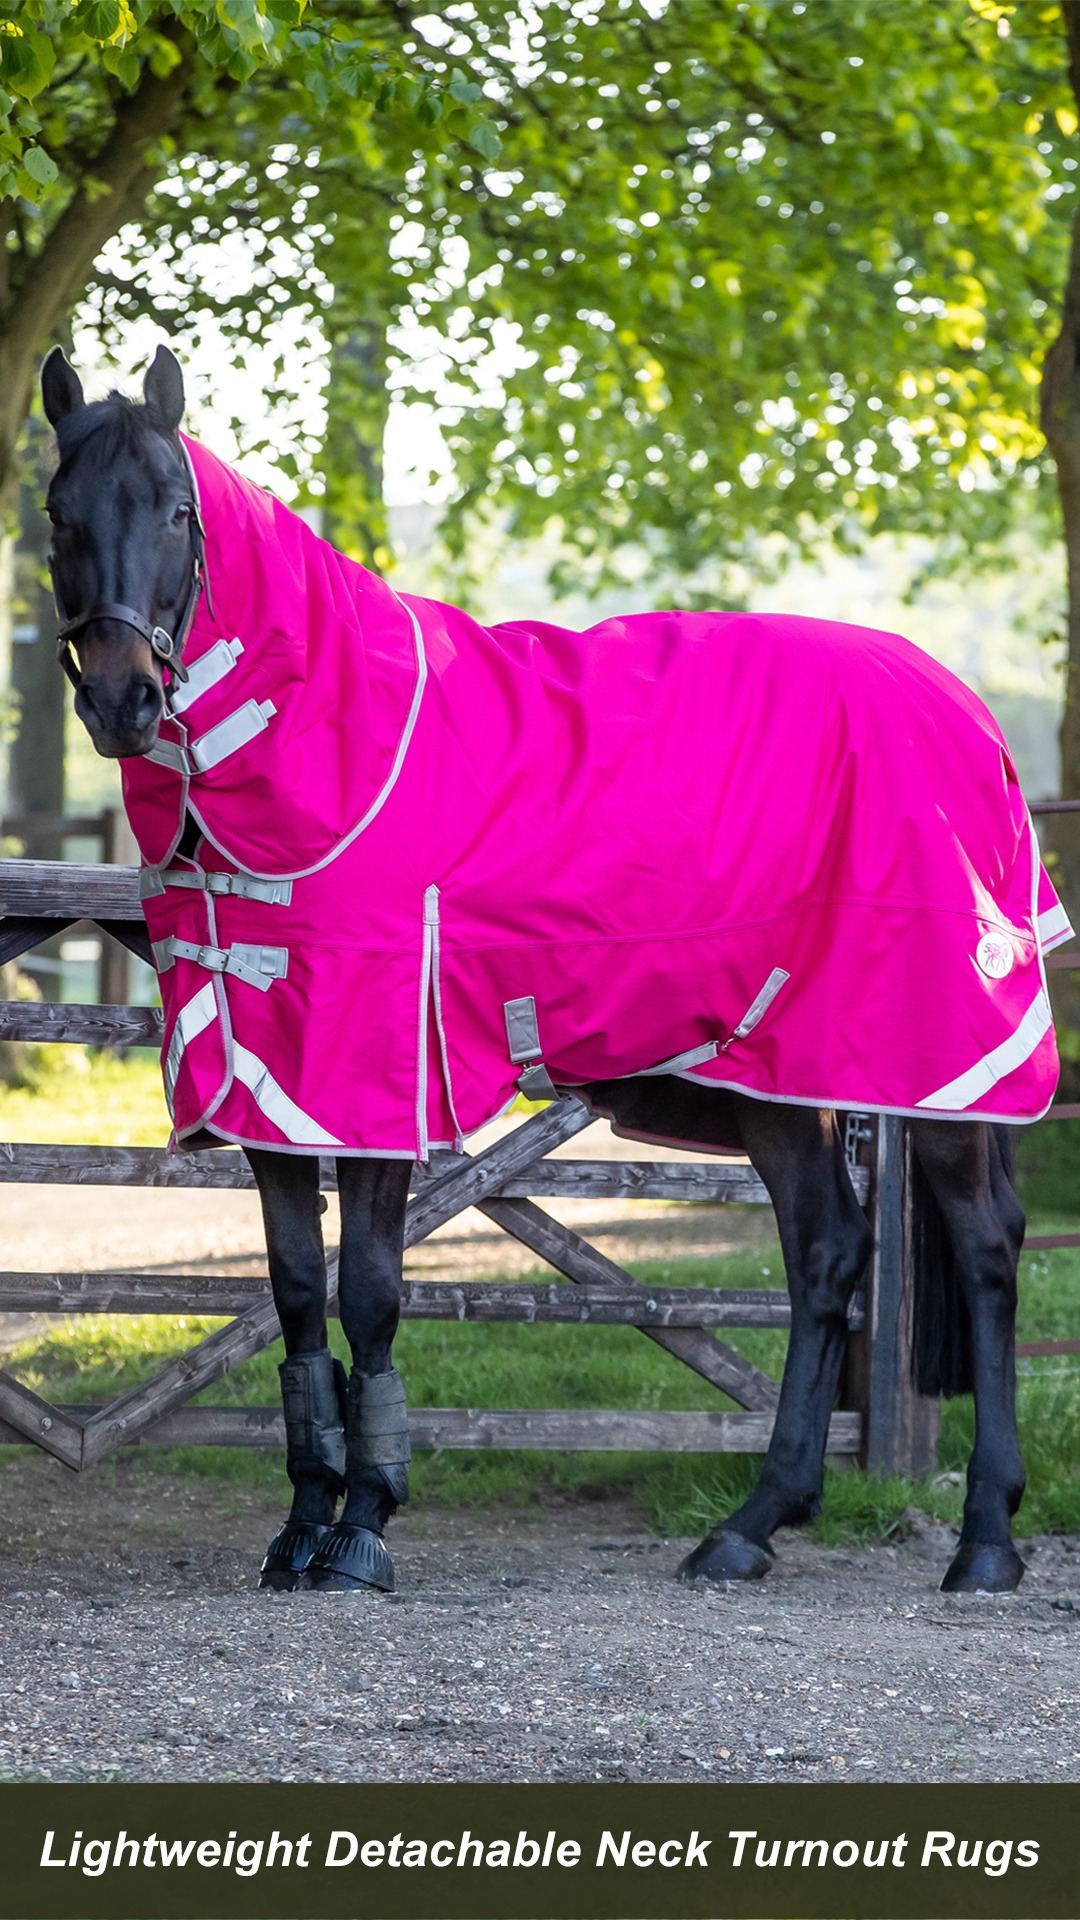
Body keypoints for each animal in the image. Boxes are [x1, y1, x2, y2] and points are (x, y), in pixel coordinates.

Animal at [37, 341, 1048, 1600]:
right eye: (57, 512)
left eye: (177, 512)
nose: (120, 699)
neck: (332, 732)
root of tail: (967, 711)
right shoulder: (269, 1080)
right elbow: (296, 1295)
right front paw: (301, 1526)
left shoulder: (376, 1073)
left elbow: (370, 1291)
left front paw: (363, 1529)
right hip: (778, 1074)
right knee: (825, 1253)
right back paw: (751, 1525)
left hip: (936, 1058)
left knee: (986, 1249)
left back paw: (987, 1539)